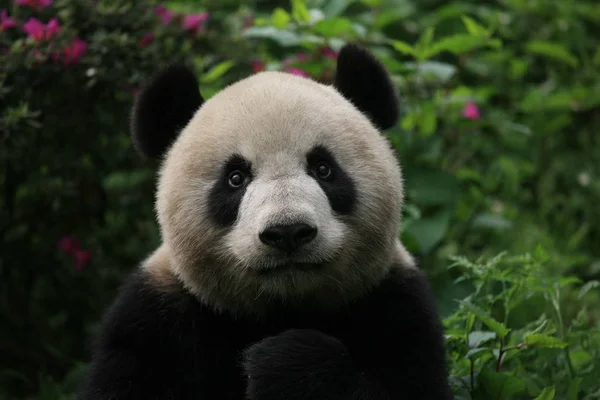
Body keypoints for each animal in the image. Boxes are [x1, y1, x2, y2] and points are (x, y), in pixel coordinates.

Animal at [76, 43, 450, 400]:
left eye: (324, 169)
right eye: (235, 178)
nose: (288, 232)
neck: (280, 310)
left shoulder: (396, 306)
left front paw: (288, 363)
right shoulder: (154, 322)